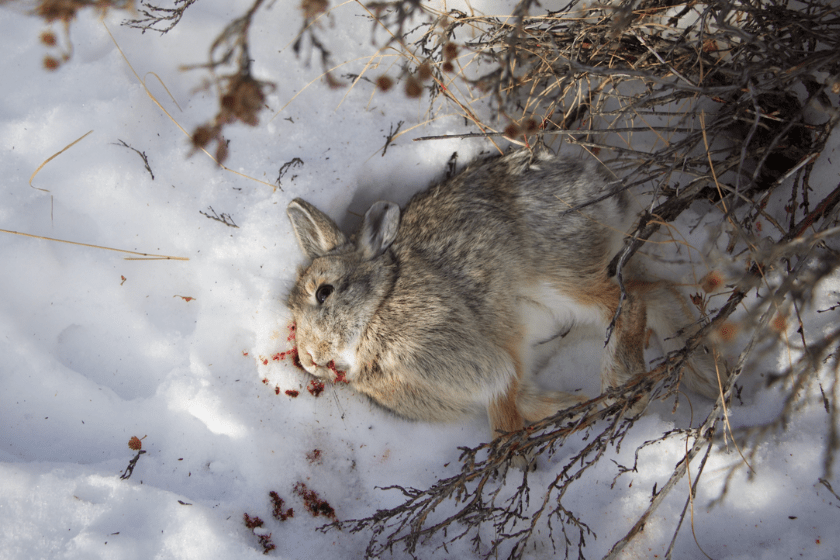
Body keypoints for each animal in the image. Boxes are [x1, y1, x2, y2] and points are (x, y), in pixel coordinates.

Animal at [286, 149, 720, 446]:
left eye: (324, 292)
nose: (307, 359)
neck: (380, 303)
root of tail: (605, 186)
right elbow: (523, 399)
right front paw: (569, 405)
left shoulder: (485, 367)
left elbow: (504, 415)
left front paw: (513, 458)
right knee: (656, 292)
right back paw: (705, 373)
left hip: (559, 277)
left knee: (625, 302)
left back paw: (623, 384)